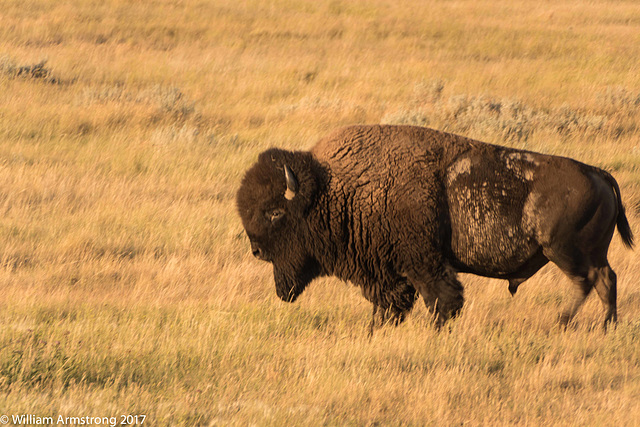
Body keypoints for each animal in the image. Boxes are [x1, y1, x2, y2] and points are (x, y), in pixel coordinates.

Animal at [236, 123, 636, 332]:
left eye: (275, 212)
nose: (256, 250)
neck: (335, 186)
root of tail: (600, 174)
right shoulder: (391, 274)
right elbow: (391, 304)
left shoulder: (424, 264)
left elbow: (442, 300)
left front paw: (437, 329)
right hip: (582, 253)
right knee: (606, 280)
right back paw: (605, 326)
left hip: (564, 251)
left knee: (592, 280)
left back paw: (566, 322)